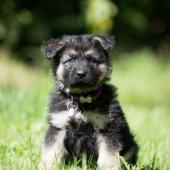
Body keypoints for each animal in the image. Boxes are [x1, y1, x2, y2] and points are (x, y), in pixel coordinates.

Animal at [39, 34, 138, 169]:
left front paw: (108, 167)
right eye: (70, 60)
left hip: (131, 147)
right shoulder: (58, 125)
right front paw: (47, 166)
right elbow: (51, 151)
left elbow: (108, 155)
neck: (82, 100)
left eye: (91, 60)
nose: (81, 74)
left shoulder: (107, 127)